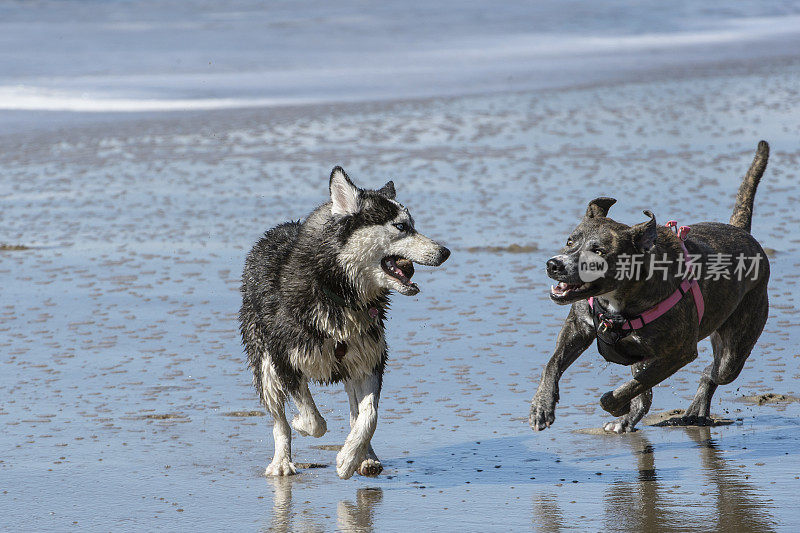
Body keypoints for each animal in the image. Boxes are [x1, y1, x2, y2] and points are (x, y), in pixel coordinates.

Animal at [238, 166, 450, 478]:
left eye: (412, 224)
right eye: (401, 227)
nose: (445, 251)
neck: (337, 292)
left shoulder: (371, 359)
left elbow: (369, 415)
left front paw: (349, 458)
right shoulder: (285, 360)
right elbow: (313, 421)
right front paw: (301, 423)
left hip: (353, 363)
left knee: (356, 413)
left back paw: (366, 457)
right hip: (264, 365)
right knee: (278, 420)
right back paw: (282, 461)